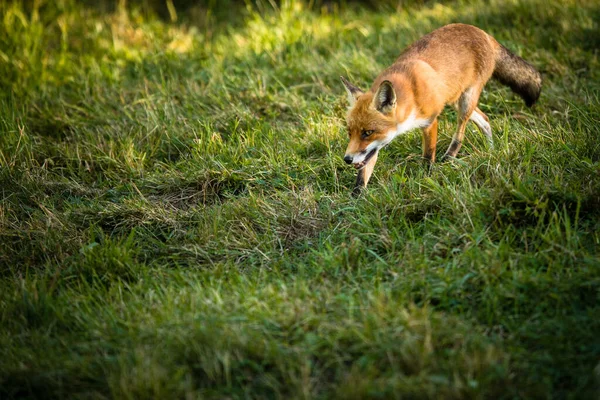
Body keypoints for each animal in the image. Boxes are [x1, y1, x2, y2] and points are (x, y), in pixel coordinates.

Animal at [342, 23, 544, 195]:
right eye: (349, 133)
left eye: (367, 132)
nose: (347, 159)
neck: (410, 95)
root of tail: (483, 33)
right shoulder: (374, 148)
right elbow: (363, 173)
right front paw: (356, 198)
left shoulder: (430, 121)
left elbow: (428, 155)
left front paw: (426, 178)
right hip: (456, 99)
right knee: (485, 119)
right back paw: (492, 150)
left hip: (465, 101)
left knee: (461, 133)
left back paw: (450, 156)